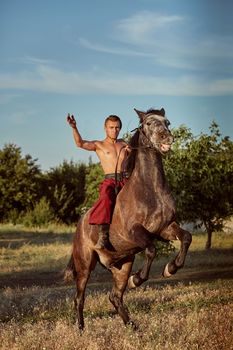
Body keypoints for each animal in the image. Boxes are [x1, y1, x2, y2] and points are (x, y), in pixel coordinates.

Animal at [64, 108, 192, 330]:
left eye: (167, 122)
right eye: (148, 123)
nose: (166, 138)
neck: (150, 189)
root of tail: (80, 225)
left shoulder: (165, 228)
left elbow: (186, 237)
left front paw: (170, 269)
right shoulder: (135, 232)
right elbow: (151, 250)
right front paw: (138, 279)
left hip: (122, 265)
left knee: (115, 297)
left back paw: (133, 327)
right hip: (85, 265)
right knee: (79, 298)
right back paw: (80, 329)